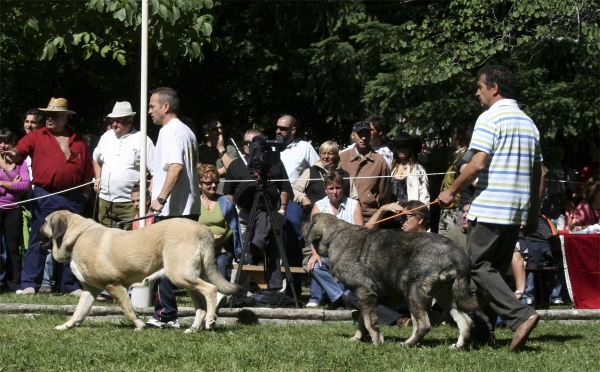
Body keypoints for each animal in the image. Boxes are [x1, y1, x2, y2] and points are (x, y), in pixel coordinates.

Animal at [38, 211, 244, 332]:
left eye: (45, 222)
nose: (37, 229)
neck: (76, 237)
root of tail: (203, 229)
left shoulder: (114, 285)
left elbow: (128, 310)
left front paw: (139, 325)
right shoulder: (91, 290)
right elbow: (78, 312)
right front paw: (66, 326)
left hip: (180, 276)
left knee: (211, 290)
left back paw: (210, 320)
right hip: (187, 279)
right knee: (200, 305)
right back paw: (194, 328)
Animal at [302, 212, 490, 348]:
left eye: (308, 220)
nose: (301, 223)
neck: (334, 236)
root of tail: (457, 252)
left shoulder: (364, 291)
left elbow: (369, 322)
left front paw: (377, 342)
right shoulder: (364, 297)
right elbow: (362, 321)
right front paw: (357, 339)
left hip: (412, 290)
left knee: (423, 325)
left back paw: (406, 344)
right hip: (446, 295)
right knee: (465, 322)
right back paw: (457, 346)